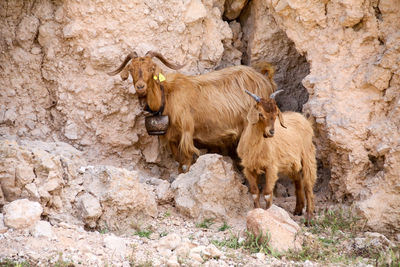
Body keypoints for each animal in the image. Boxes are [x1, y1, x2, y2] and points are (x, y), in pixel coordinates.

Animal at [109, 52, 278, 173]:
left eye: (151, 69)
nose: (140, 87)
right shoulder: (172, 136)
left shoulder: (187, 131)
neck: (167, 95)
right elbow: (178, 160)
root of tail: (265, 79)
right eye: (131, 69)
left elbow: (186, 160)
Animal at [238, 90, 316, 222]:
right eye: (261, 114)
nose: (271, 132)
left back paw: (309, 217)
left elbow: (267, 193)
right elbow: (254, 193)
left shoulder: (271, 167)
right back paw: (298, 210)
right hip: (292, 163)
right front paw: (257, 212)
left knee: (308, 184)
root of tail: (303, 118)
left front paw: (270, 213)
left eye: (275, 115)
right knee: (298, 181)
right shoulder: (249, 168)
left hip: (307, 155)